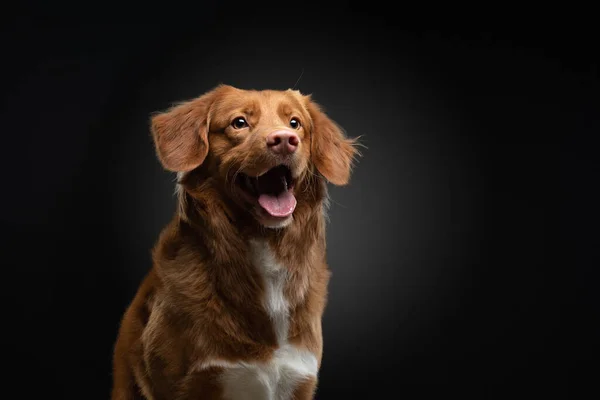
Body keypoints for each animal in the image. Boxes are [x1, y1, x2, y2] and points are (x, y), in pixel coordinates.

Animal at [110, 85, 358, 400]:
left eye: (295, 123)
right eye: (239, 123)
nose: (285, 141)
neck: (263, 242)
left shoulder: (297, 378)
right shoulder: (189, 382)